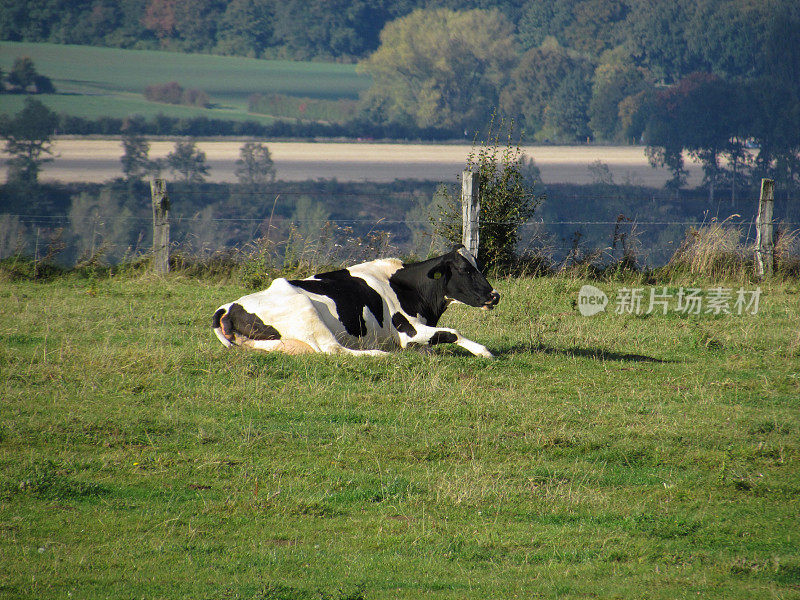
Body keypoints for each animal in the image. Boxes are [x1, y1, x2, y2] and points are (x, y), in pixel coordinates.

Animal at [212, 246, 500, 358]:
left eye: (477, 266)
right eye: (464, 269)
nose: (495, 295)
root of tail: (229, 306)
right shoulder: (408, 331)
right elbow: (453, 332)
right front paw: (482, 351)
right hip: (306, 313)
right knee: (334, 350)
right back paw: (378, 354)